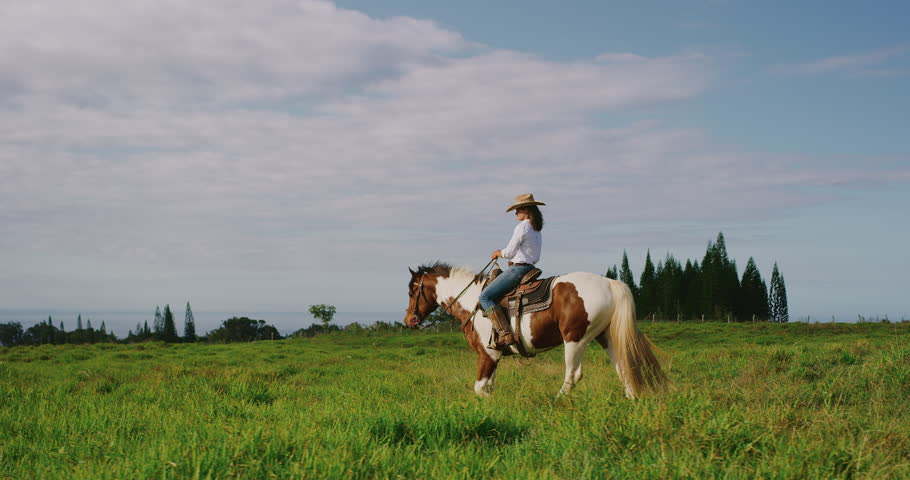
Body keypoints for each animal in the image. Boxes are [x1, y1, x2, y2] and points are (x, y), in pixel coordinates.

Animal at [406, 262, 668, 398]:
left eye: (412, 290)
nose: (409, 320)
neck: (473, 302)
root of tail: (610, 283)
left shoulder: (488, 354)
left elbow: (480, 388)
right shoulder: (494, 356)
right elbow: (488, 386)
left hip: (575, 339)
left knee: (573, 375)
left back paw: (557, 401)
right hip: (607, 338)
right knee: (624, 367)